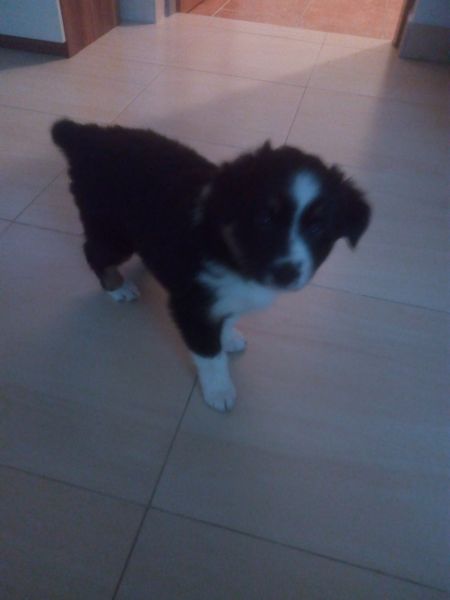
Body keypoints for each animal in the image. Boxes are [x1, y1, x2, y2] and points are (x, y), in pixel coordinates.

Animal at [51, 119, 371, 412]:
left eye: (318, 228)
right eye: (264, 219)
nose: (286, 272)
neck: (232, 254)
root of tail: (87, 135)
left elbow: (227, 317)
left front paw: (228, 337)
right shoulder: (193, 305)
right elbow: (209, 355)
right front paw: (220, 391)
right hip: (112, 231)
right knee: (93, 252)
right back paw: (118, 288)